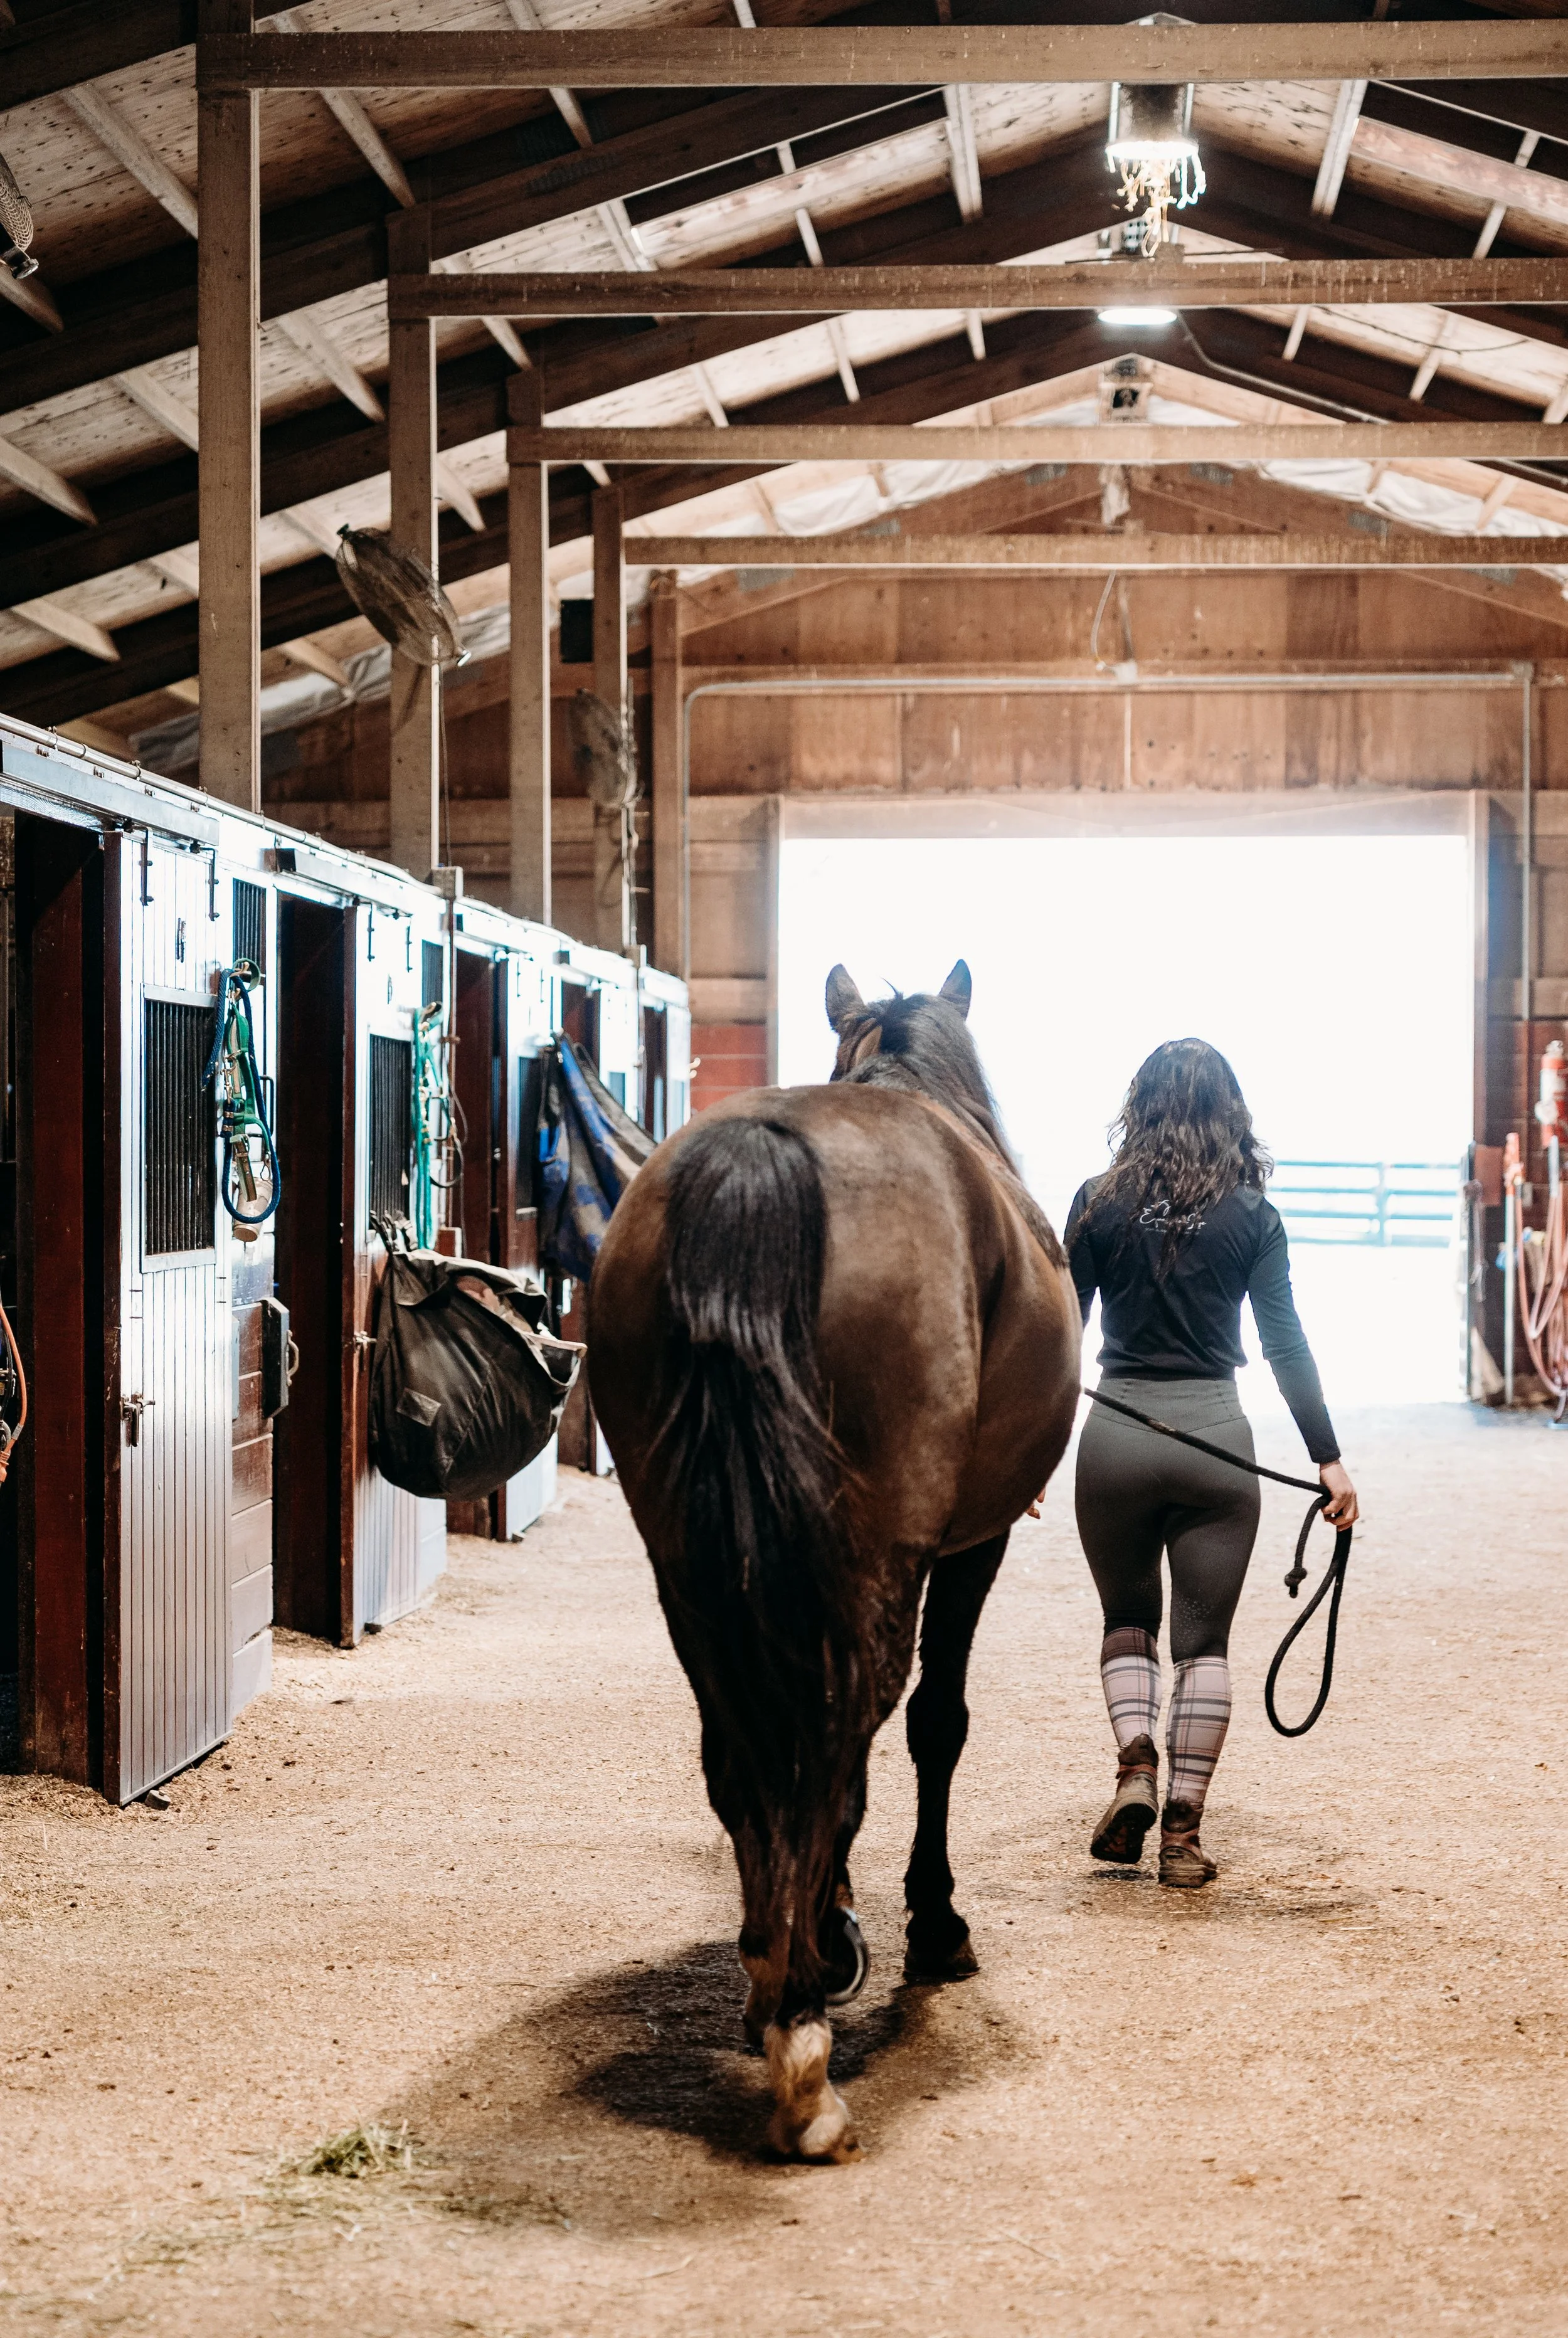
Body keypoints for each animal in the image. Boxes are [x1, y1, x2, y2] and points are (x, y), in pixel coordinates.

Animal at [588, 960, 1080, 2160]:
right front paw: (931, 1923)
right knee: (839, 1738)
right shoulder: (971, 1544)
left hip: (691, 1570)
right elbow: (936, 1725)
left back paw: (775, 1977)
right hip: (874, 1561)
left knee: (747, 1750)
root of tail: (759, 1158)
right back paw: (807, 2038)